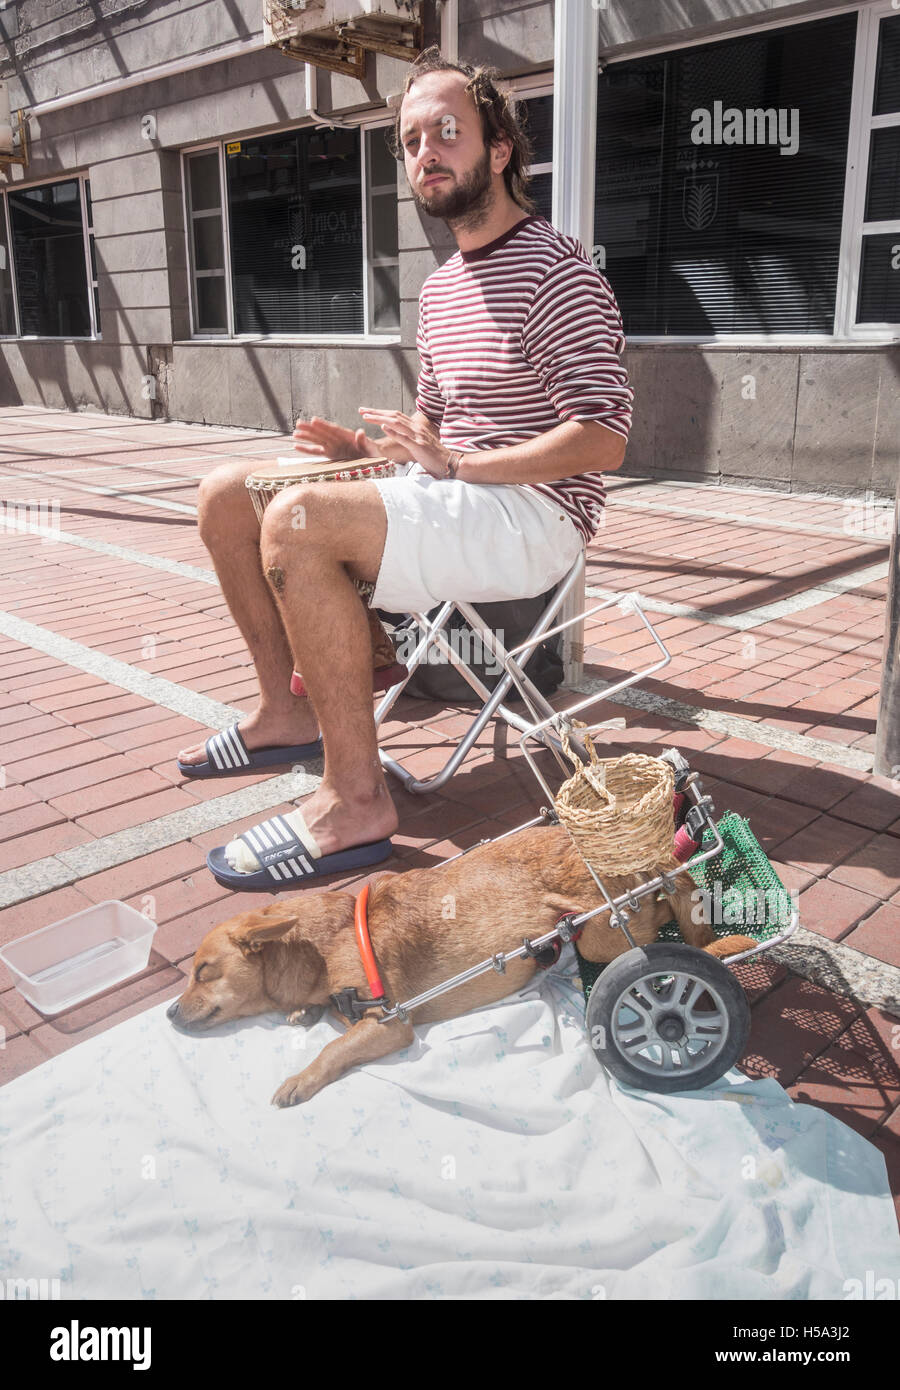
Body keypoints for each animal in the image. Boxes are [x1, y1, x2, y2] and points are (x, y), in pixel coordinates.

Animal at [166, 822, 751, 1106]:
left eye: (203, 971)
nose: (169, 1013)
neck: (321, 945)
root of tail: (647, 856)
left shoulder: (390, 1025)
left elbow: (335, 1047)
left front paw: (300, 1079)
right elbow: (315, 1016)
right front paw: (300, 1014)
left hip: (603, 939)